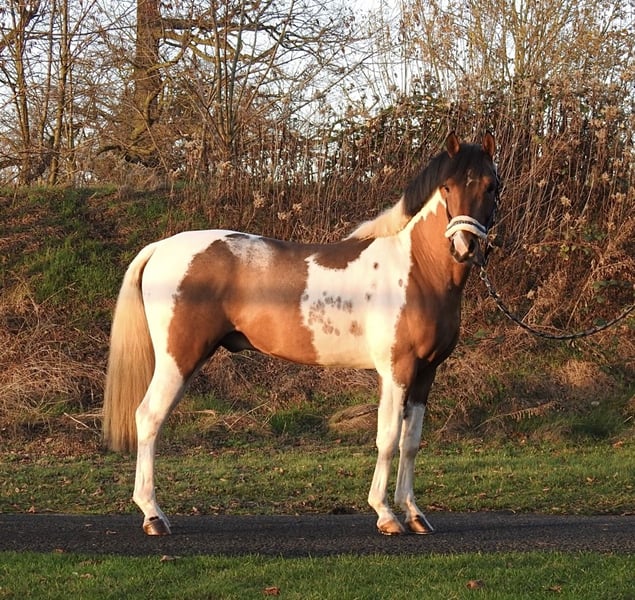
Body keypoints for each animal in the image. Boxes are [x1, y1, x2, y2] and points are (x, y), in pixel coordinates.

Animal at [103, 131, 499, 536]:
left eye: (491, 186)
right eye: (447, 187)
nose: (464, 247)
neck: (415, 270)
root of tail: (159, 248)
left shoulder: (425, 373)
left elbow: (411, 442)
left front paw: (415, 514)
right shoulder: (396, 371)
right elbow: (387, 438)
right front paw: (386, 514)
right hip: (178, 360)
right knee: (148, 418)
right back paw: (153, 514)